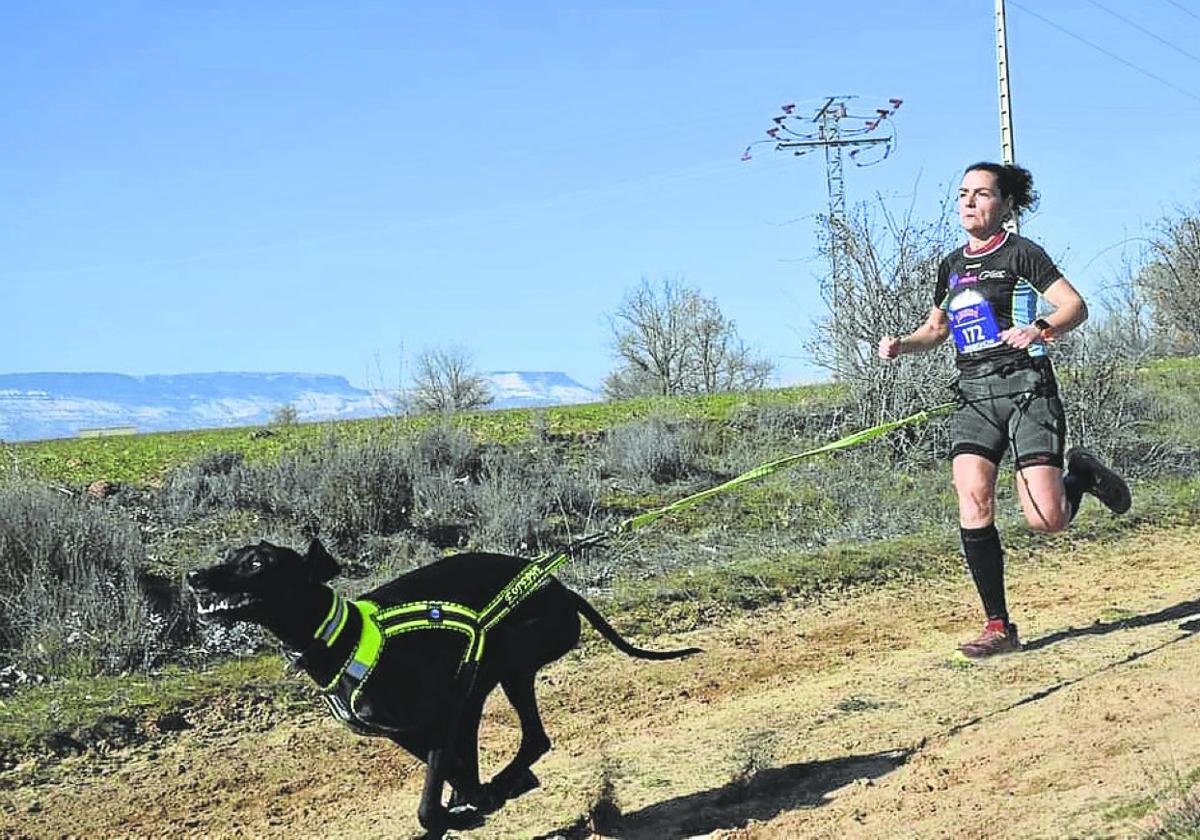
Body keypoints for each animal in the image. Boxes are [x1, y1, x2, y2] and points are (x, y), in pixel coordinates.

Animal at [182, 542, 700, 835]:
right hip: (481, 679)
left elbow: (429, 806)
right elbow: (453, 772)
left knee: (535, 738)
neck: (340, 636)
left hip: (506, 659)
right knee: (499, 746)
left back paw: (503, 783)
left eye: (256, 563)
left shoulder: (441, 713)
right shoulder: (408, 732)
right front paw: (471, 802)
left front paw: (463, 809)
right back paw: (498, 786)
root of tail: (559, 588)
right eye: (230, 554)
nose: (193, 575)